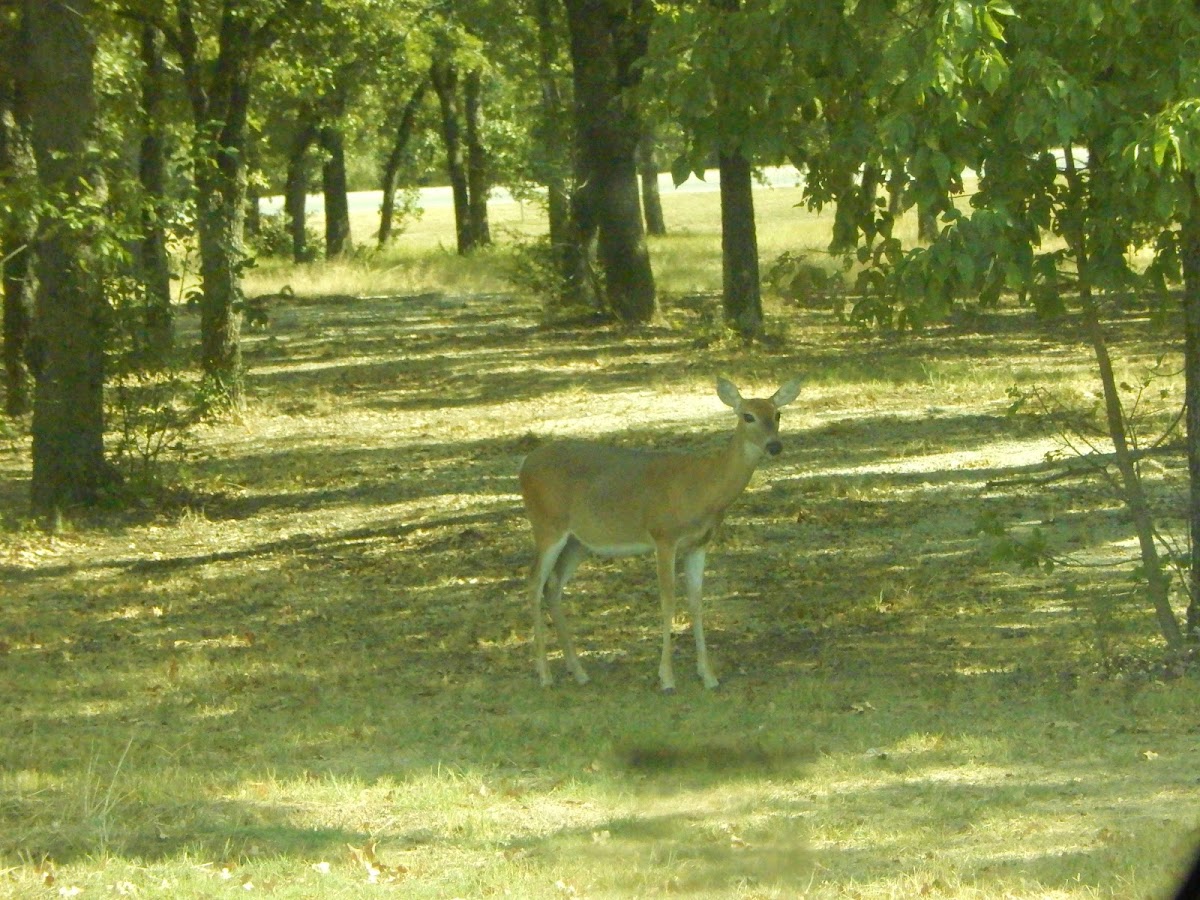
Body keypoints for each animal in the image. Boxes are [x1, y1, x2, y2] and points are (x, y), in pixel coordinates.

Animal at [520, 376, 801, 696]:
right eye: (748, 416)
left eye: (777, 414)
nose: (774, 445)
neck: (704, 489)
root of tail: (523, 465)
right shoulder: (663, 536)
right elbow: (668, 602)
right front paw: (666, 678)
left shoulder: (699, 544)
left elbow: (696, 602)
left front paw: (708, 675)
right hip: (547, 525)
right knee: (534, 582)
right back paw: (545, 674)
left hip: (577, 541)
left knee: (553, 585)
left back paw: (578, 672)